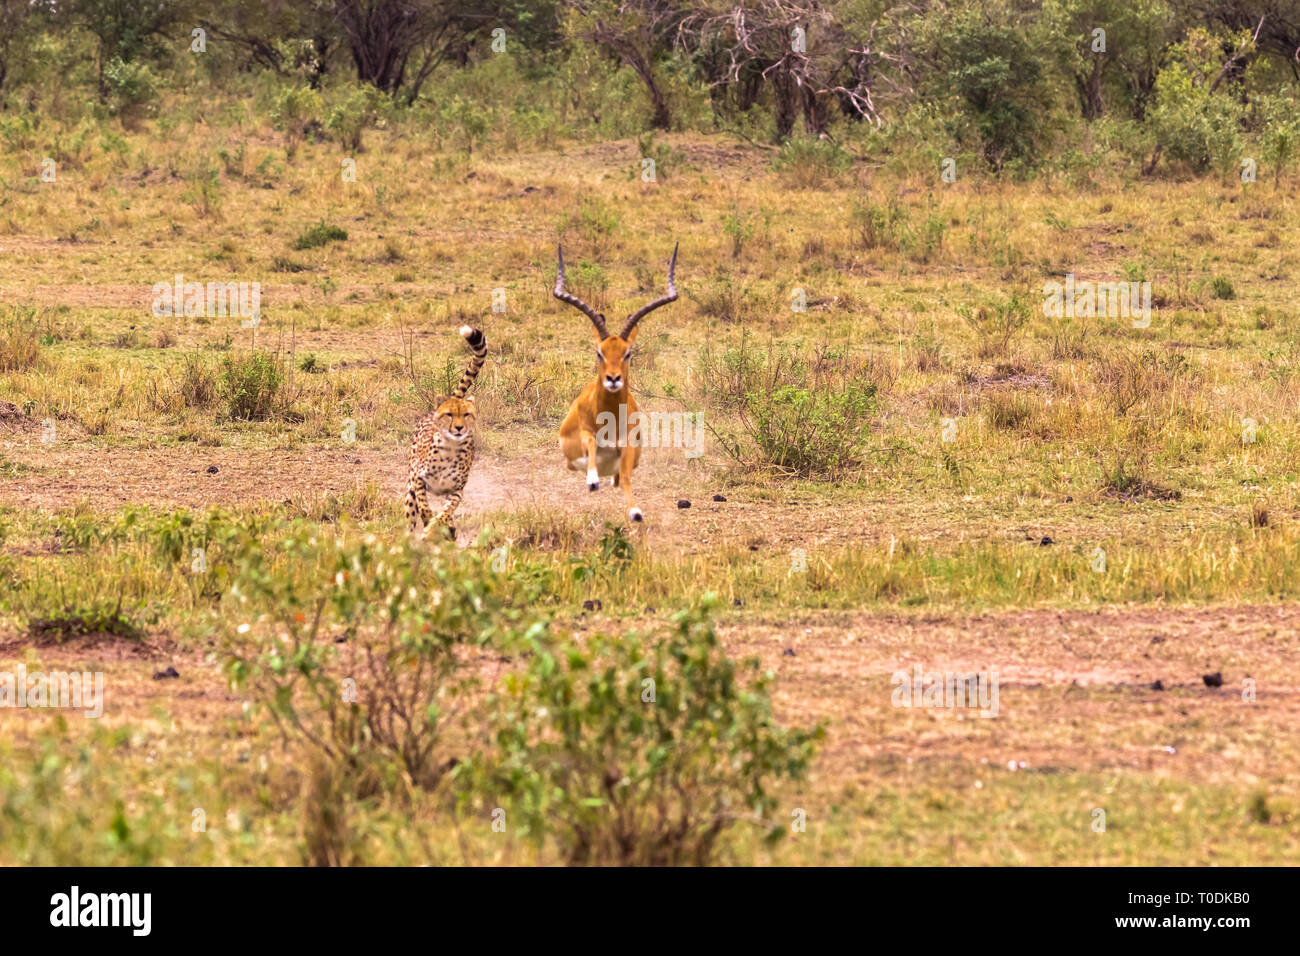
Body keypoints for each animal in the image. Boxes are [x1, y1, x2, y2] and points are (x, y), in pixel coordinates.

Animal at [404, 325, 487, 540]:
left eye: (467, 415)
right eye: (450, 415)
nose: (458, 428)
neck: (450, 448)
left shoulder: (456, 490)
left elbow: (447, 510)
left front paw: (441, 525)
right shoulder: (418, 479)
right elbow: (424, 506)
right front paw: (429, 521)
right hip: (409, 489)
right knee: (410, 516)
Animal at [554, 243, 679, 523]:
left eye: (628, 353)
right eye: (599, 352)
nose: (613, 379)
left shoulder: (629, 448)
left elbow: (627, 479)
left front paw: (635, 511)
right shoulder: (583, 436)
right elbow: (591, 442)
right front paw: (592, 481)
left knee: (620, 477)